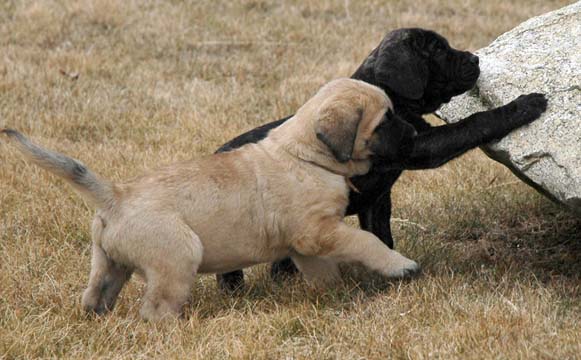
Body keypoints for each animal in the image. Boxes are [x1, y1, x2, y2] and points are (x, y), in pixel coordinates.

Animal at [215, 29, 548, 292]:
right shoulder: (417, 145)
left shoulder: (377, 199)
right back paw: (234, 292)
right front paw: (522, 106)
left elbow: (382, 236)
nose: (475, 60)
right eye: (439, 50)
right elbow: (474, 123)